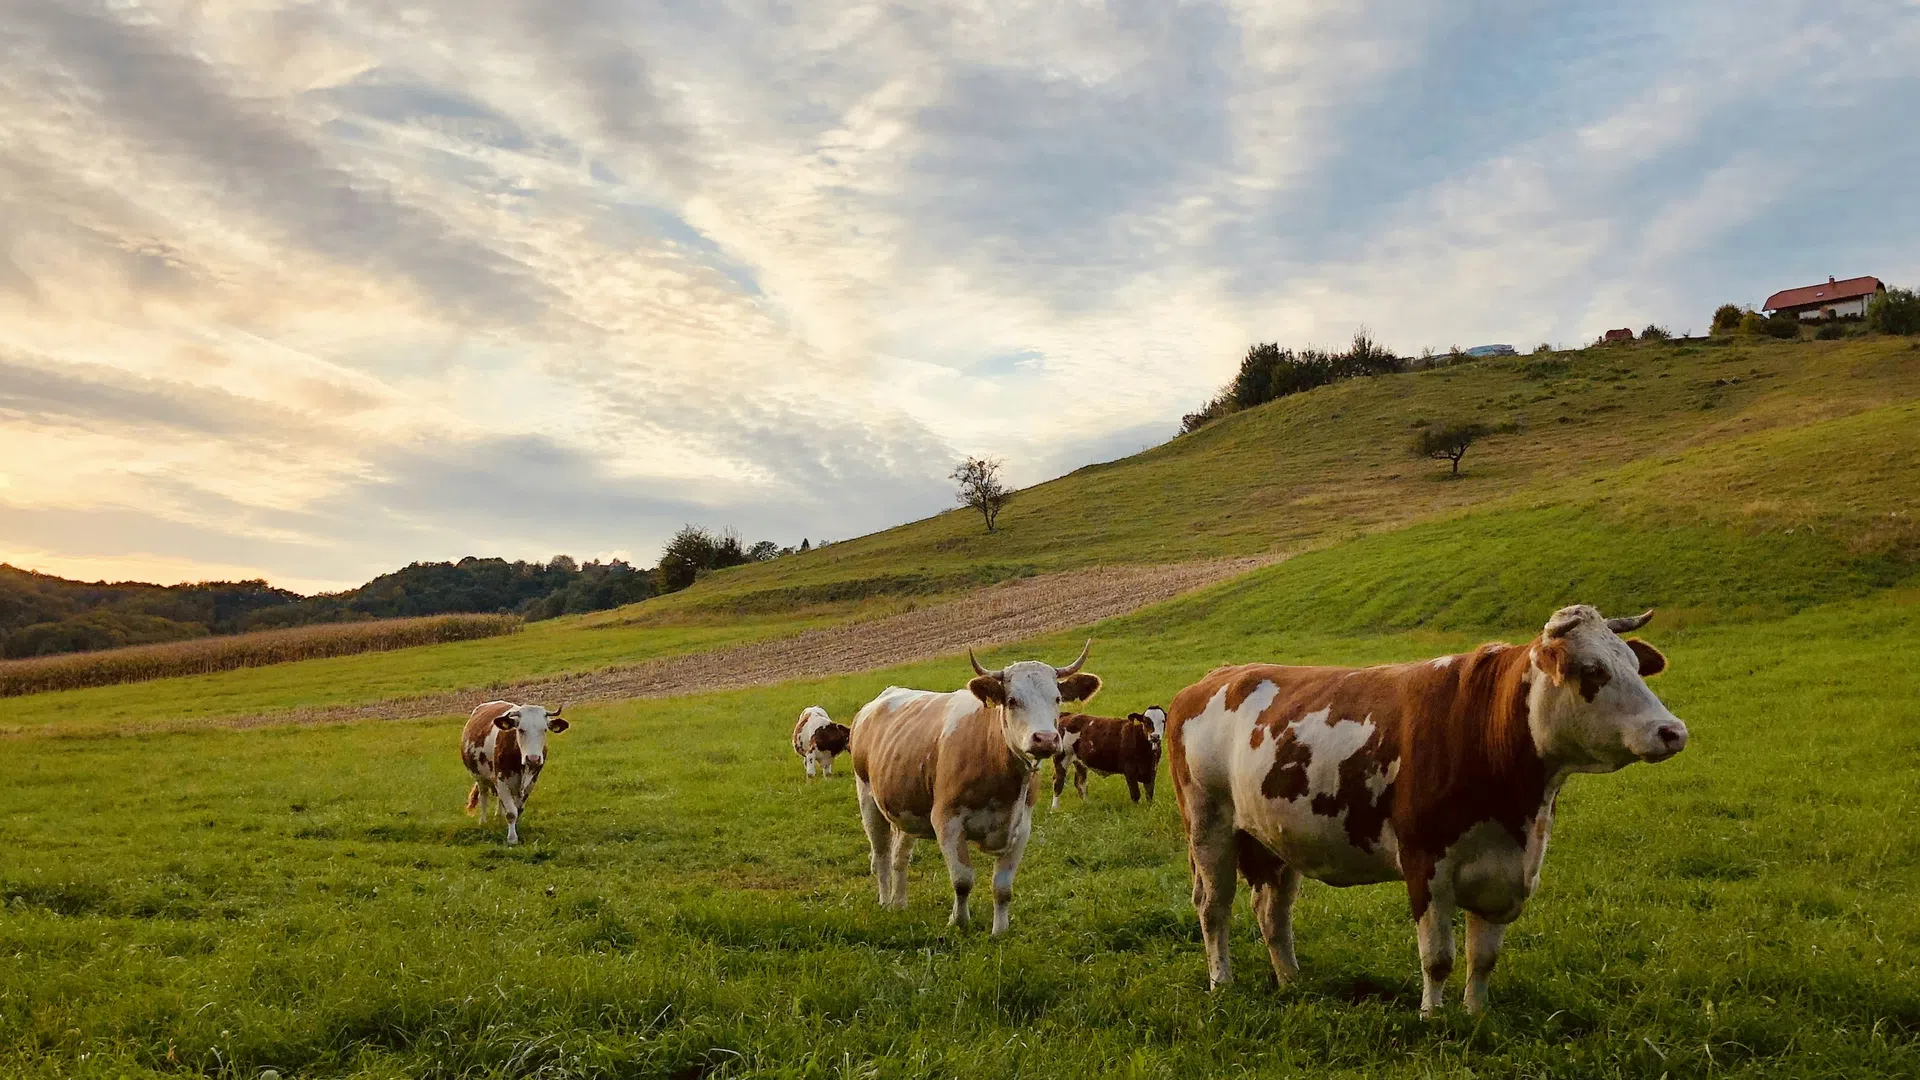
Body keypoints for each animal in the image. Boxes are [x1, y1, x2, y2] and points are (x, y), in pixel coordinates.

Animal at [461, 700, 570, 845]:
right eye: (521, 730)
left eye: (545, 730)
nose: (533, 758)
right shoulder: (500, 780)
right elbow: (511, 812)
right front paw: (512, 838)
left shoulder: (531, 782)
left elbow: (518, 809)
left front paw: (515, 829)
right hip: (480, 778)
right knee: (483, 796)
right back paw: (483, 821)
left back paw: (499, 817)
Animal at [849, 641, 1102, 934]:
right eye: (1012, 700)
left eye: (1057, 698)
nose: (1046, 739)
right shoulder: (947, 820)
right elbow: (962, 880)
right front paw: (958, 922)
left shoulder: (1022, 826)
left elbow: (1002, 887)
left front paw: (1000, 931)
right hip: (868, 798)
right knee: (880, 855)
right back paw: (885, 901)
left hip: (905, 807)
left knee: (899, 857)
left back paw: (899, 904)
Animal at [1167, 606, 1688, 1015]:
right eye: (1593, 670)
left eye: (1635, 666)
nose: (1672, 731)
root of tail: (1212, 678)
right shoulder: (1425, 864)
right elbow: (1438, 957)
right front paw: (1433, 1018)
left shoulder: (1507, 873)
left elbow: (1483, 958)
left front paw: (1475, 1016)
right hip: (1209, 825)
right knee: (1214, 906)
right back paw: (1221, 982)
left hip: (1274, 836)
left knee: (1272, 912)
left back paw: (1293, 983)